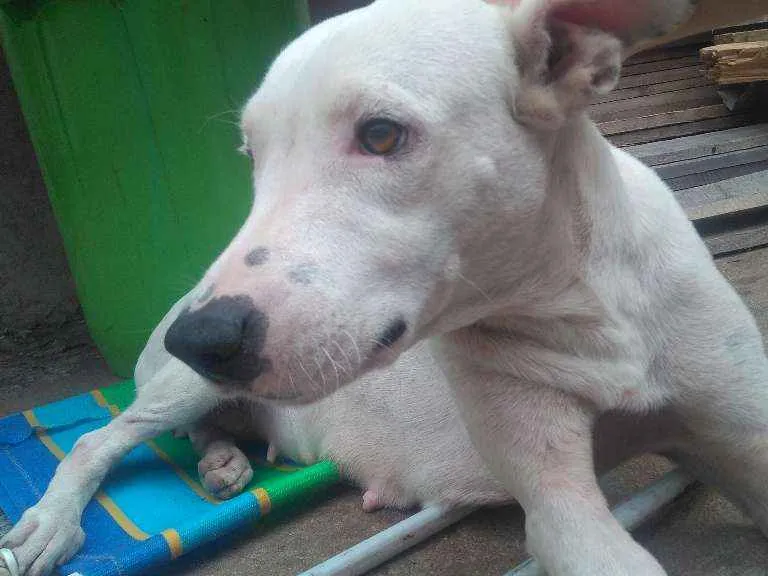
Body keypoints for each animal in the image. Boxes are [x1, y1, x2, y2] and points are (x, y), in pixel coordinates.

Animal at [4, 0, 768, 574]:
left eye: (379, 135)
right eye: (253, 157)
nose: (197, 336)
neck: (580, 310)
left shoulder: (740, 427)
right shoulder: (560, 507)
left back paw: (222, 460)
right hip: (178, 387)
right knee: (100, 439)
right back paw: (52, 522)